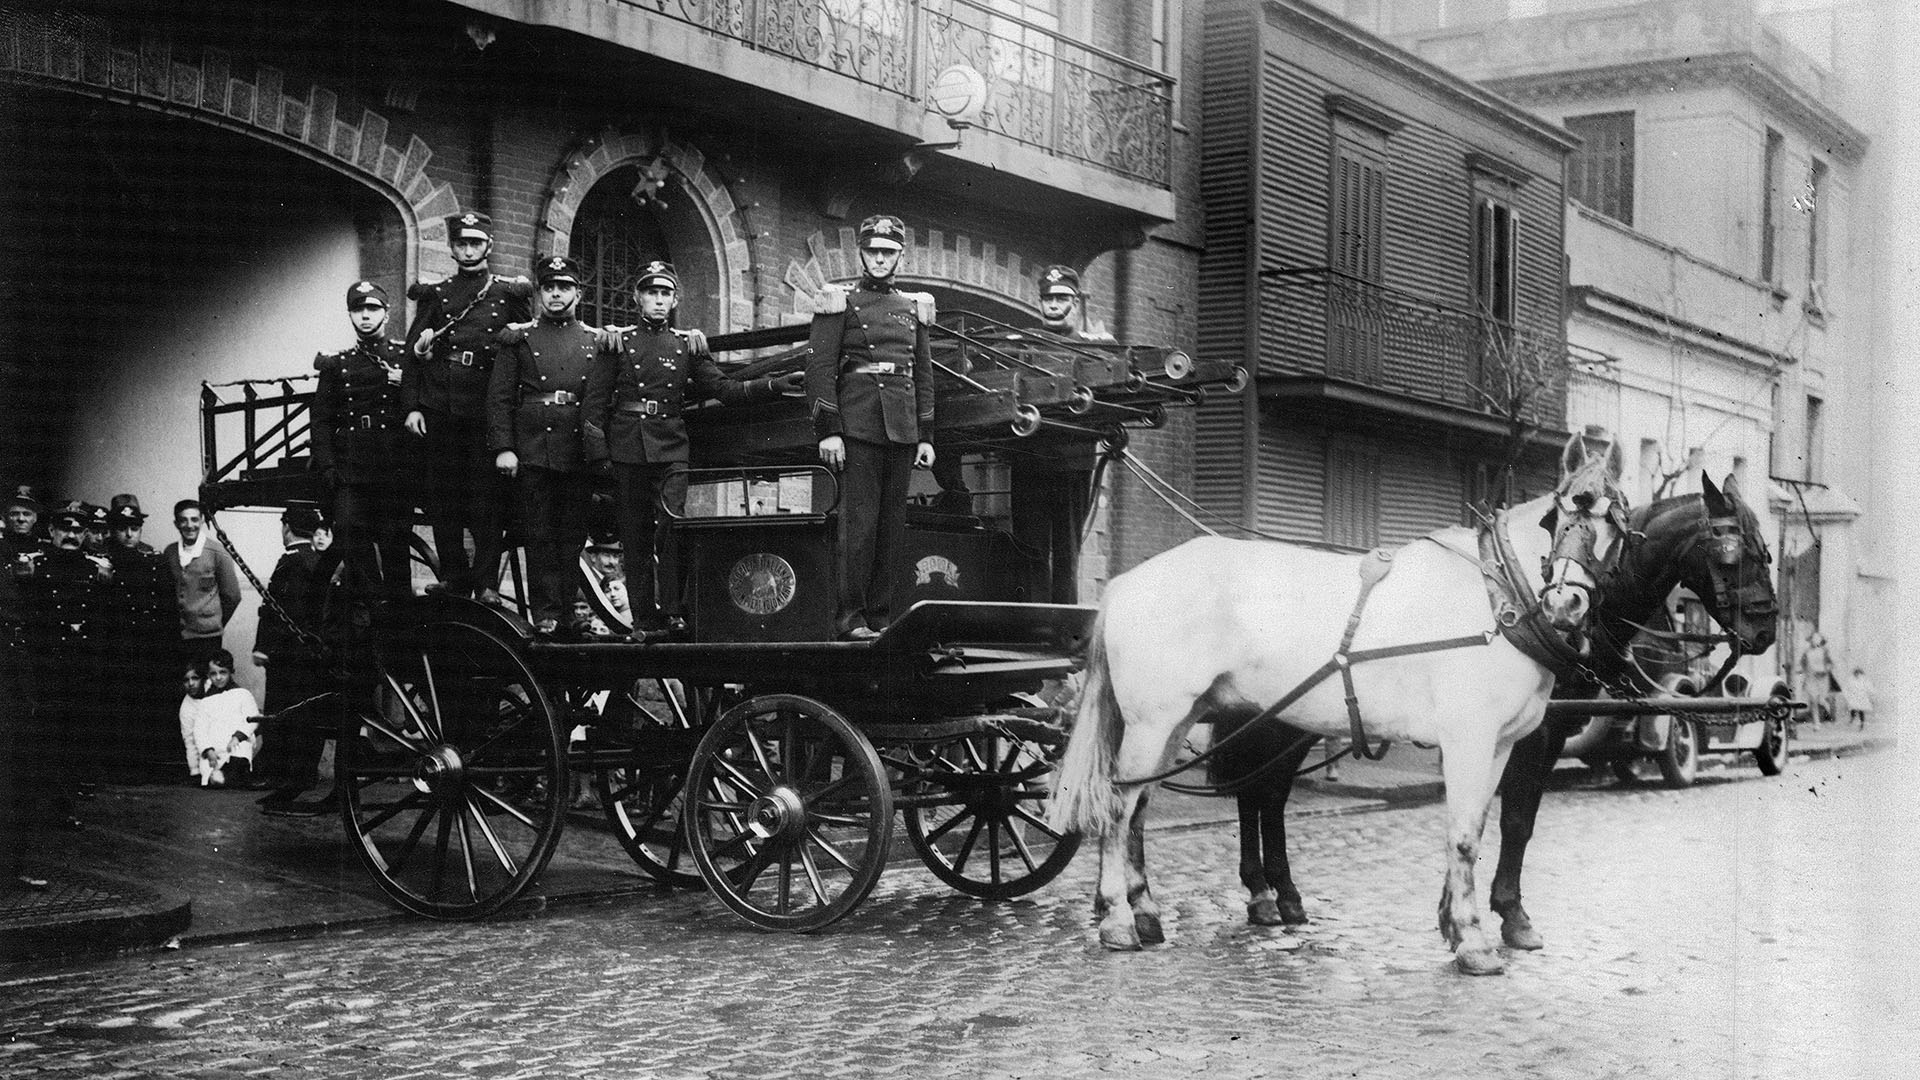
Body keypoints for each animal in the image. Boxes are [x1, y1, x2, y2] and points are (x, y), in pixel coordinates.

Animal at [1052, 432, 1620, 972]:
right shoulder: (1469, 740)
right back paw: (1119, 920)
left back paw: (1146, 912)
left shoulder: (1500, 745)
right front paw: (1473, 943)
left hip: (1176, 723)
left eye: (1613, 524)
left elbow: (1478, 827)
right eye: (1557, 516)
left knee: (1141, 808)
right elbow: (1463, 835)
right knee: (1120, 808)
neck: (1496, 597)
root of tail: (1125, 583)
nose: (1566, 603)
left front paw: (1455, 926)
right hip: (1153, 722)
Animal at [1213, 474, 1781, 937]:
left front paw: (1465, 912)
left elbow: (1490, 815)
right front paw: (1510, 914)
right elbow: (1516, 820)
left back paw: (1275, 894)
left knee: (1264, 791)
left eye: (1767, 552)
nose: (1766, 630)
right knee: (1261, 792)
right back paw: (1270, 894)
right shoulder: (1537, 734)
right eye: (1735, 554)